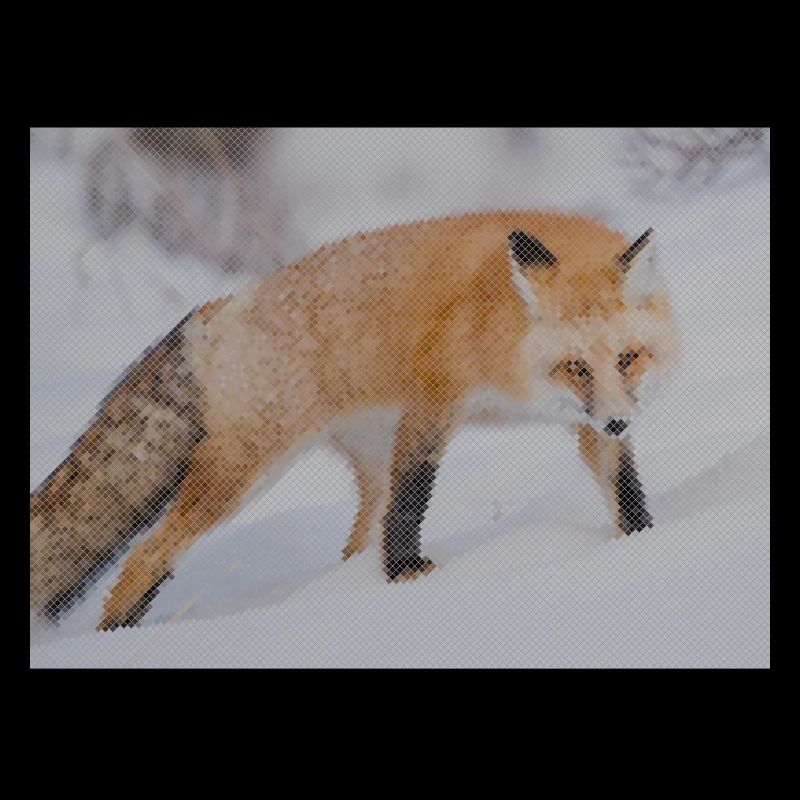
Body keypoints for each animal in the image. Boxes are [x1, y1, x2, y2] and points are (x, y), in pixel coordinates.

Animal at [30, 210, 679, 631]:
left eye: (628, 358)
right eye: (575, 366)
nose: (621, 422)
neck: (502, 331)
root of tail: (218, 309)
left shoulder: (587, 422)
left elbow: (624, 490)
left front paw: (644, 542)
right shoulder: (433, 401)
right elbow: (414, 499)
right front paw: (407, 576)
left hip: (364, 458)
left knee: (353, 545)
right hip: (245, 472)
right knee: (147, 554)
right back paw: (118, 633)